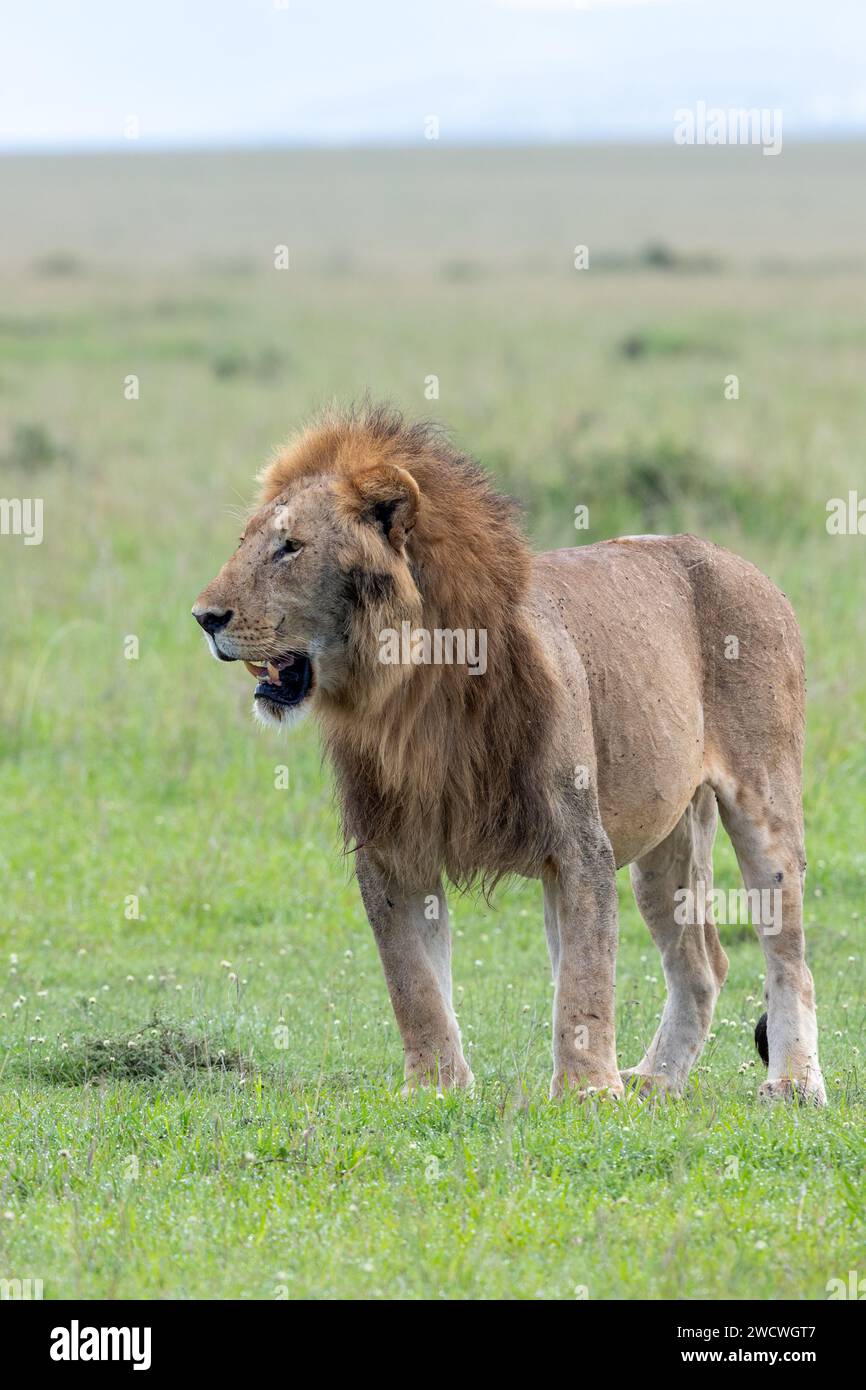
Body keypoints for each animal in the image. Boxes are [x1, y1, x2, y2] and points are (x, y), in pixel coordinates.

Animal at [193, 404, 825, 1105]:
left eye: (291, 547)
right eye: (247, 540)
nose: (204, 617)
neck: (414, 691)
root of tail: (742, 564)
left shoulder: (577, 841)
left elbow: (584, 980)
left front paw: (586, 1092)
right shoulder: (393, 849)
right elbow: (413, 982)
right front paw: (435, 1087)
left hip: (763, 803)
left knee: (789, 957)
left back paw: (793, 1083)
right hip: (666, 840)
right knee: (701, 964)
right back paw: (657, 1079)